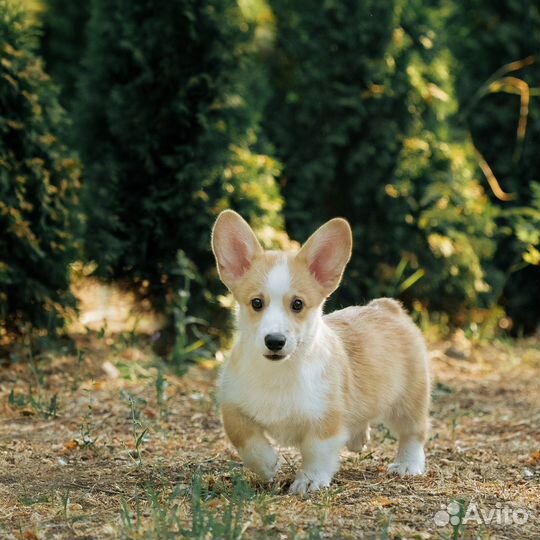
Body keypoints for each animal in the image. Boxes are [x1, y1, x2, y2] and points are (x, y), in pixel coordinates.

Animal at [211, 210, 430, 494]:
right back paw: (358, 439)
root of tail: (385, 307)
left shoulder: (325, 420)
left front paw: (309, 481)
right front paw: (267, 464)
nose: (275, 341)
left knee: (413, 433)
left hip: (408, 401)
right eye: (256, 303)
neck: (279, 372)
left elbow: (317, 452)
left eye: (297, 304)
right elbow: (244, 436)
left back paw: (407, 464)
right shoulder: (232, 404)